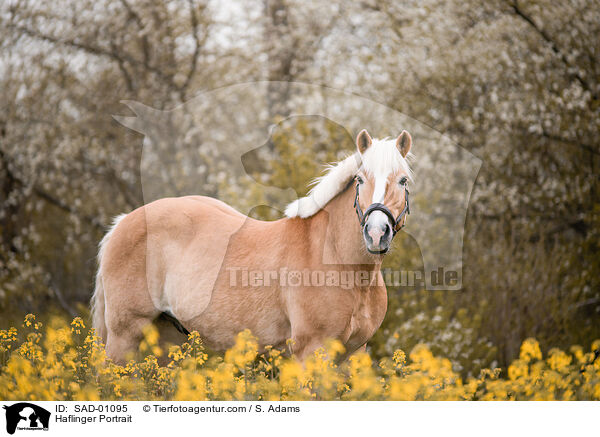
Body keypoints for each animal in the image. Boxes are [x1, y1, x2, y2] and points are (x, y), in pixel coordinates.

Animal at [92, 129, 412, 362]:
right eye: (360, 179)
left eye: (403, 181)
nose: (376, 233)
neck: (341, 263)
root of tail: (123, 222)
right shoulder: (311, 350)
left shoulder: (353, 353)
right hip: (124, 337)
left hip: (164, 340)